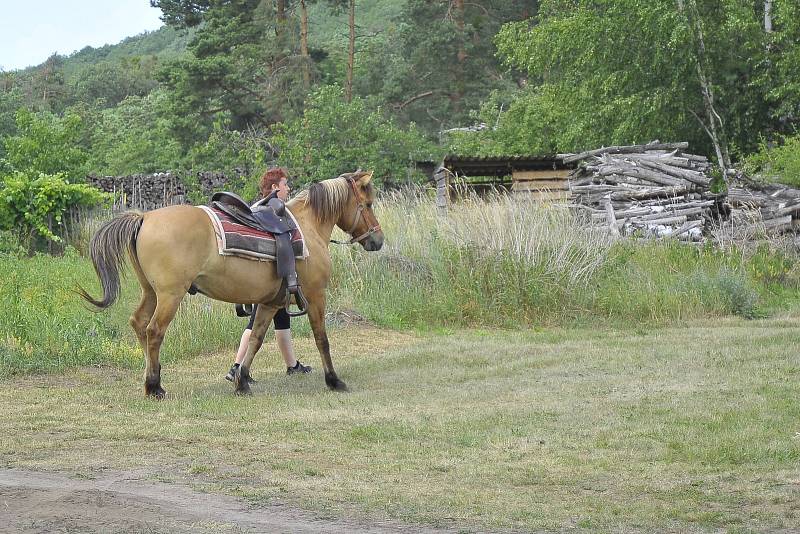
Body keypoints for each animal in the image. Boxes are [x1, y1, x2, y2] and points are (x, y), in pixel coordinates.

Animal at [78, 172, 384, 398]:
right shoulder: (315, 295)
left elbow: (256, 339)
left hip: (151, 292)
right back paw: (154, 387)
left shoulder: (270, 302)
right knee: (154, 331)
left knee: (139, 324)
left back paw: (154, 379)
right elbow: (322, 339)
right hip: (170, 295)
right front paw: (333, 381)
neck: (307, 229)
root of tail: (144, 217)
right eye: (368, 204)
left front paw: (242, 381)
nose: (377, 240)